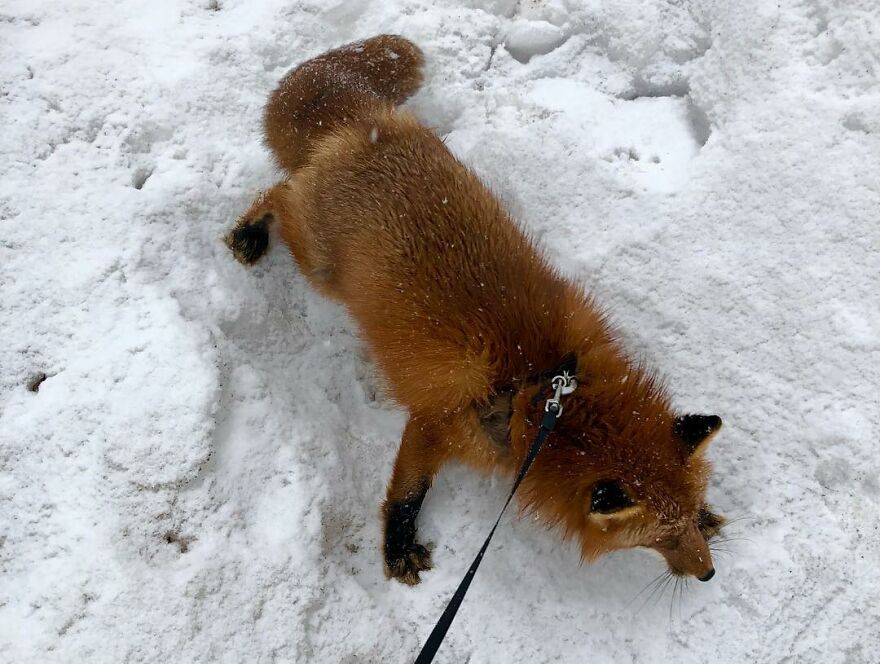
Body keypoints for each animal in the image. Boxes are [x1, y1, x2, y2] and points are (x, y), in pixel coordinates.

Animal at [225, 35, 725, 586]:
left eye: (686, 524)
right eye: (661, 538)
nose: (708, 574)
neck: (541, 391)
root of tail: (368, 123)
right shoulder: (437, 422)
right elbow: (408, 492)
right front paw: (398, 547)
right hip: (317, 263)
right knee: (278, 192)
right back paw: (249, 232)